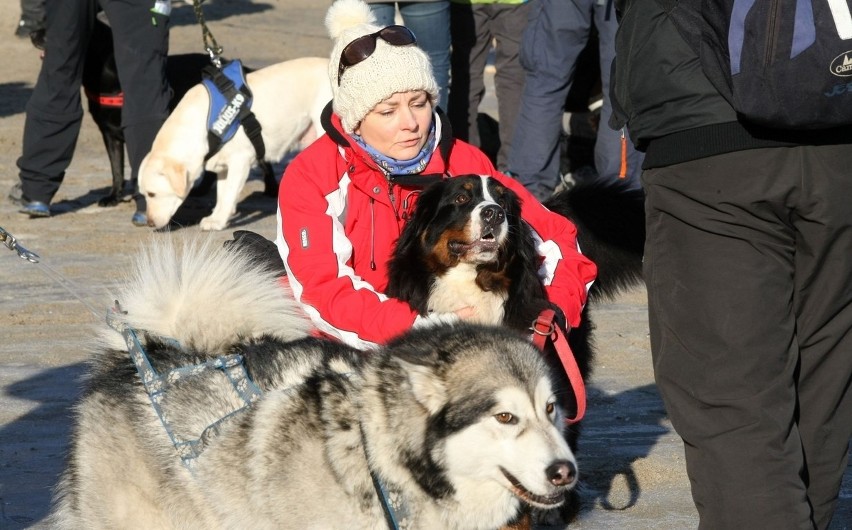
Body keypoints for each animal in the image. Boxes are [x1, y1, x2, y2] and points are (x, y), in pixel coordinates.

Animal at [140, 56, 330, 230]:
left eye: (152, 194)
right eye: (144, 194)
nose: (149, 223)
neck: (205, 124)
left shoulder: (240, 160)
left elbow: (229, 193)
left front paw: (219, 220)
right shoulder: (223, 166)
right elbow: (221, 194)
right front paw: (216, 216)